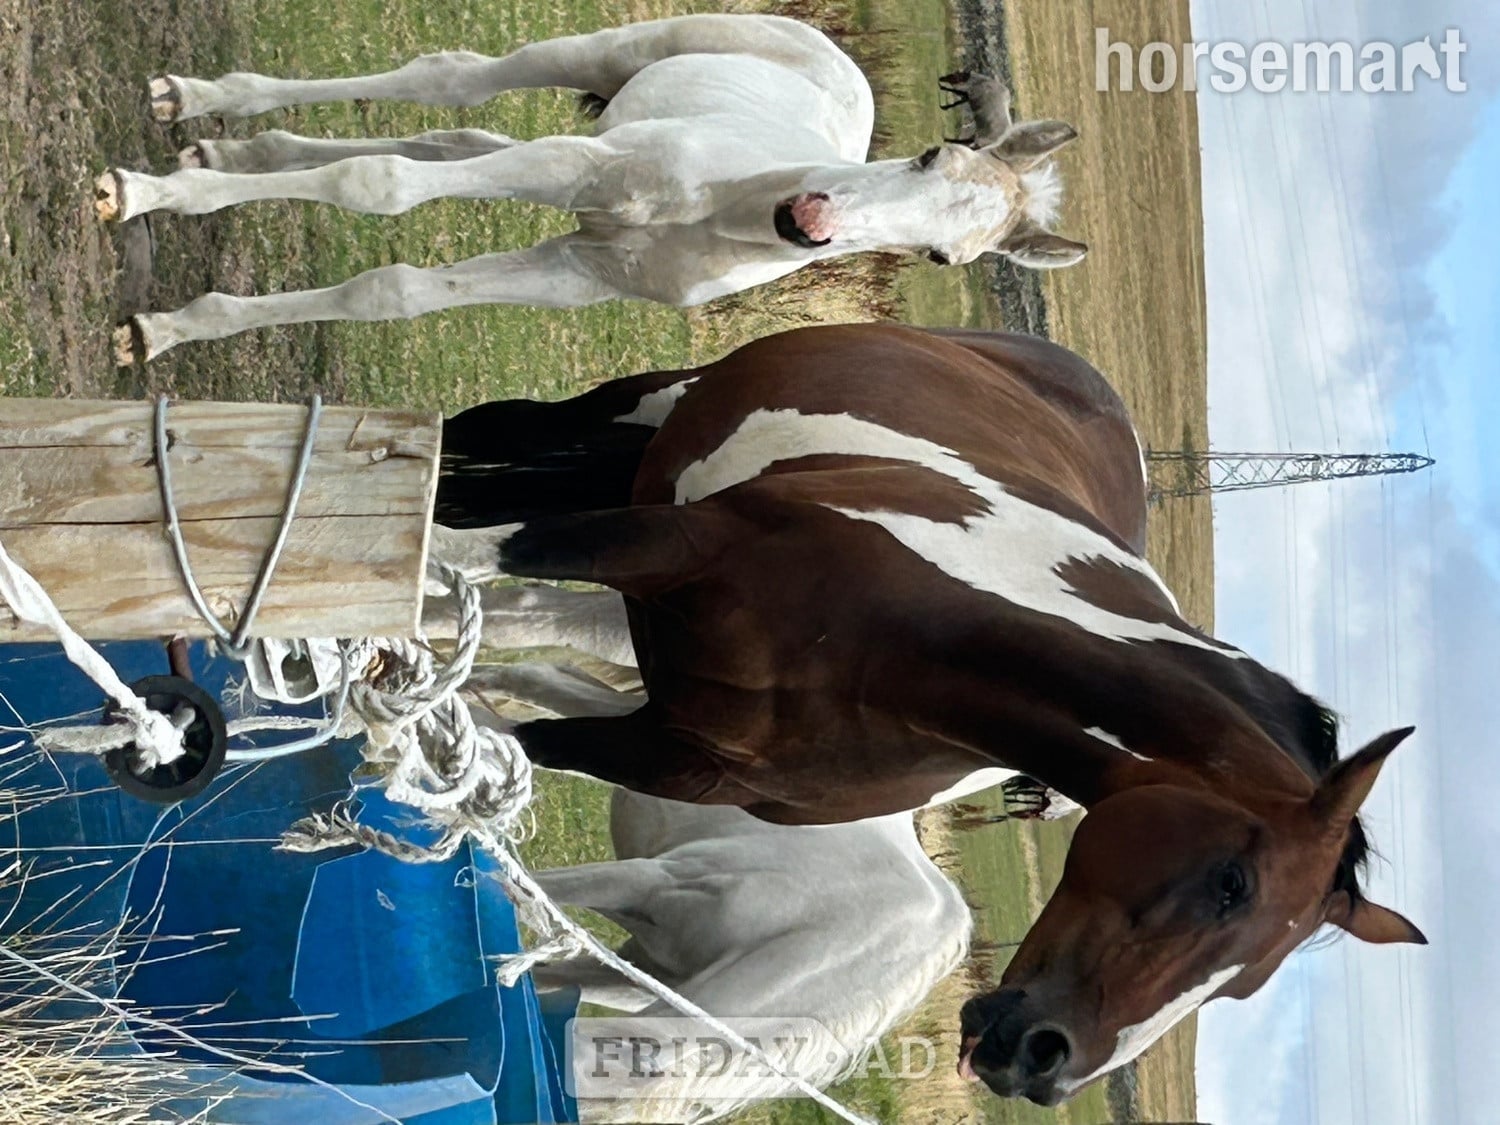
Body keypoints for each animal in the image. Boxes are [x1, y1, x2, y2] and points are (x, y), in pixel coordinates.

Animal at [93, 13, 1086, 364]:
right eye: (929, 154)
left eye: (943, 255)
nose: (810, 220)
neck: (726, 208)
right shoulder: (572, 167)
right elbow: (381, 184)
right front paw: (141, 199)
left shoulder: (574, 266)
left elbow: (394, 291)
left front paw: (164, 330)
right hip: (595, 57)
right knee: (455, 82)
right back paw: (195, 104)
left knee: (454, 132)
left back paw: (224, 154)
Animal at [429, 322, 1425, 1105]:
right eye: (1232, 883)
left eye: (1243, 988)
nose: (1044, 1061)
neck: (906, 654)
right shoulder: (666, 541)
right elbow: (476, 556)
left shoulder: (677, 752)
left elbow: (518, 743)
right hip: (642, 412)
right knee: (482, 450)